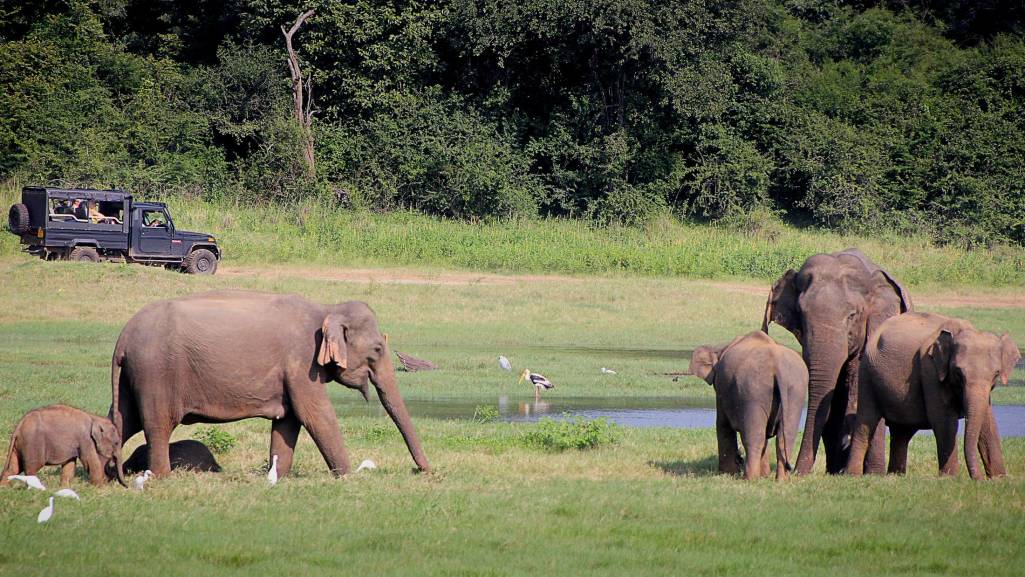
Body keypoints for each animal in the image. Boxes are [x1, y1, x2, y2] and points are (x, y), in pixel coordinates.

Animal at [110, 291, 430, 481]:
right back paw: (161, 477)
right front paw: (347, 476)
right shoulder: (302, 363)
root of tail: (123, 337)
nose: (422, 470)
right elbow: (315, 415)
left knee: (122, 420)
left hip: (134, 377)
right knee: (157, 424)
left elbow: (288, 421)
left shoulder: (292, 374)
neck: (327, 309)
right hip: (156, 374)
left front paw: (279, 476)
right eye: (377, 349)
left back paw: (108, 475)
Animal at [688, 332, 807, 481]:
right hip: (795, 391)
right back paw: (781, 480)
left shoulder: (721, 390)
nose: (739, 459)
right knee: (785, 437)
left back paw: (750, 478)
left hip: (753, 391)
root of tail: (778, 367)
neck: (721, 348)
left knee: (754, 436)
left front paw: (727, 473)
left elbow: (722, 425)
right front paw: (764, 475)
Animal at [844, 313, 1020, 481]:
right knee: (866, 423)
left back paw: (896, 476)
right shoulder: (930, 370)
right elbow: (944, 420)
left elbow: (988, 422)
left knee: (902, 432)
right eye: (958, 373)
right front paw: (950, 478)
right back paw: (854, 475)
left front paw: (999, 479)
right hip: (867, 375)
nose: (979, 479)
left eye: (996, 374)